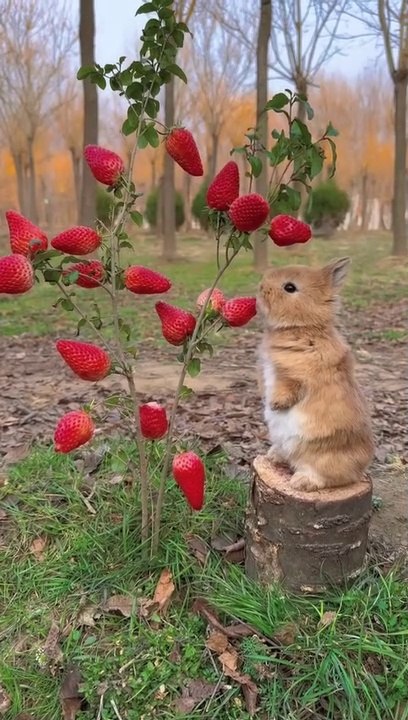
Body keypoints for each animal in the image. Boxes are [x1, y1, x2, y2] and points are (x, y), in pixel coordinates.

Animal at [257, 257, 374, 492]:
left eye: (290, 288)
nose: (261, 287)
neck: (303, 327)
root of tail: (360, 470)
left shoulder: (296, 376)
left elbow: (288, 389)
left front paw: (275, 405)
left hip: (320, 457)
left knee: (328, 478)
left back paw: (300, 482)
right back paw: (273, 456)